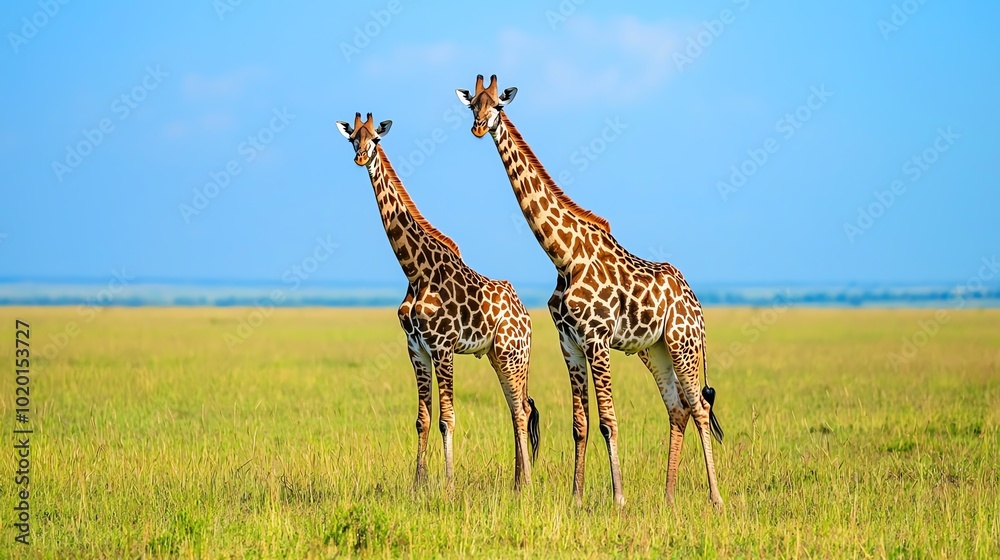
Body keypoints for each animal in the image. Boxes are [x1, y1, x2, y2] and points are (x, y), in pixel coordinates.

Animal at [336, 112, 539, 491]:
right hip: (497, 355)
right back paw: (517, 483)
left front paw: (448, 486)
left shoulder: (443, 346)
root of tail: (527, 317)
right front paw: (417, 486)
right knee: (516, 407)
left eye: (376, 139)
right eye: (353, 138)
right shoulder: (416, 347)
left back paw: (527, 485)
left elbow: (447, 417)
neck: (416, 271)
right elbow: (423, 418)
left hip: (512, 354)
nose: (360, 157)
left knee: (522, 410)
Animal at [457, 76, 724, 508]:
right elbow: (580, 424)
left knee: (699, 408)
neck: (563, 256)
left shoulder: (597, 339)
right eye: (472, 105)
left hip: (682, 344)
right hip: (656, 350)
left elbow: (608, 421)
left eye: (497, 105)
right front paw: (577, 498)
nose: (479, 128)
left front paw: (619, 499)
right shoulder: (570, 343)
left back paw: (716, 498)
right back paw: (668, 497)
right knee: (678, 408)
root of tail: (697, 305)